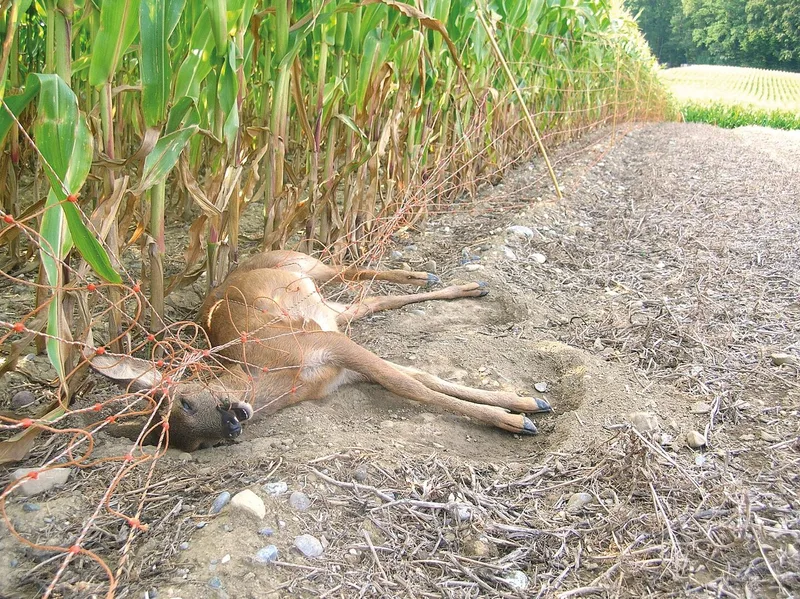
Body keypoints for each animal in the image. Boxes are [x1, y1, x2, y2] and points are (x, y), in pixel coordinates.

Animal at [89, 250, 552, 451]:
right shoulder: (342, 363)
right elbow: (419, 378)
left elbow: (413, 386)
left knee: (351, 267)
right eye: (201, 446)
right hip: (334, 308)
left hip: (307, 264)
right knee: (371, 300)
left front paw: (515, 418)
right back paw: (463, 286)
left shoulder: (328, 345)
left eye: (184, 400)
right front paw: (522, 404)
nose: (233, 423)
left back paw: (433, 276)